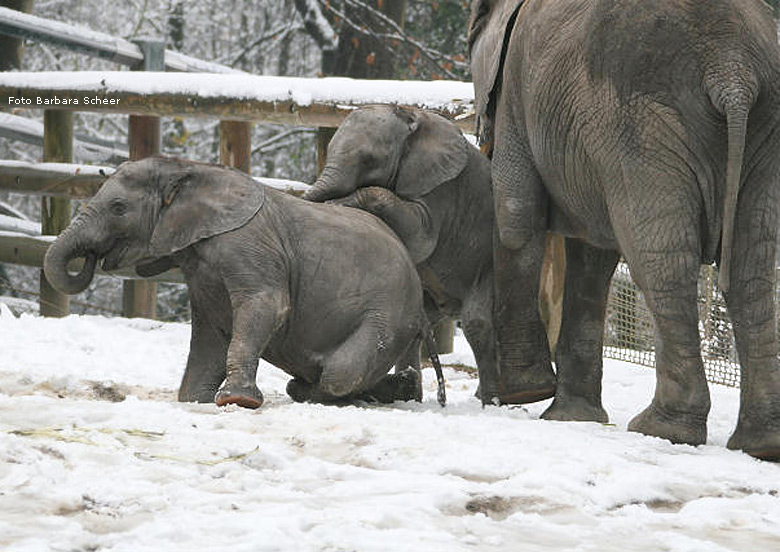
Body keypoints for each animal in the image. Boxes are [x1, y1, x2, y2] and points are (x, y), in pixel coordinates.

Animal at [306, 106, 548, 406]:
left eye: (370, 160)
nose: (326, 201)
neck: (412, 119)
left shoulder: (442, 187)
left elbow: (422, 236)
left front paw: (344, 202)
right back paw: (412, 399)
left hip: (490, 265)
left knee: (478, 324)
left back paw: (490, 403)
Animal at [470, 0, 780, 460]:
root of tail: (732, 70)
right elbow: (592, 254)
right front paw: (570, 418)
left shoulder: (515, 91)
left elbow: (516, 217)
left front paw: (525, 395)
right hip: (760, 129)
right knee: (750, 269)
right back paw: (760, 444)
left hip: (637, 126)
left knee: (662, 263)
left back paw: (662, 429)